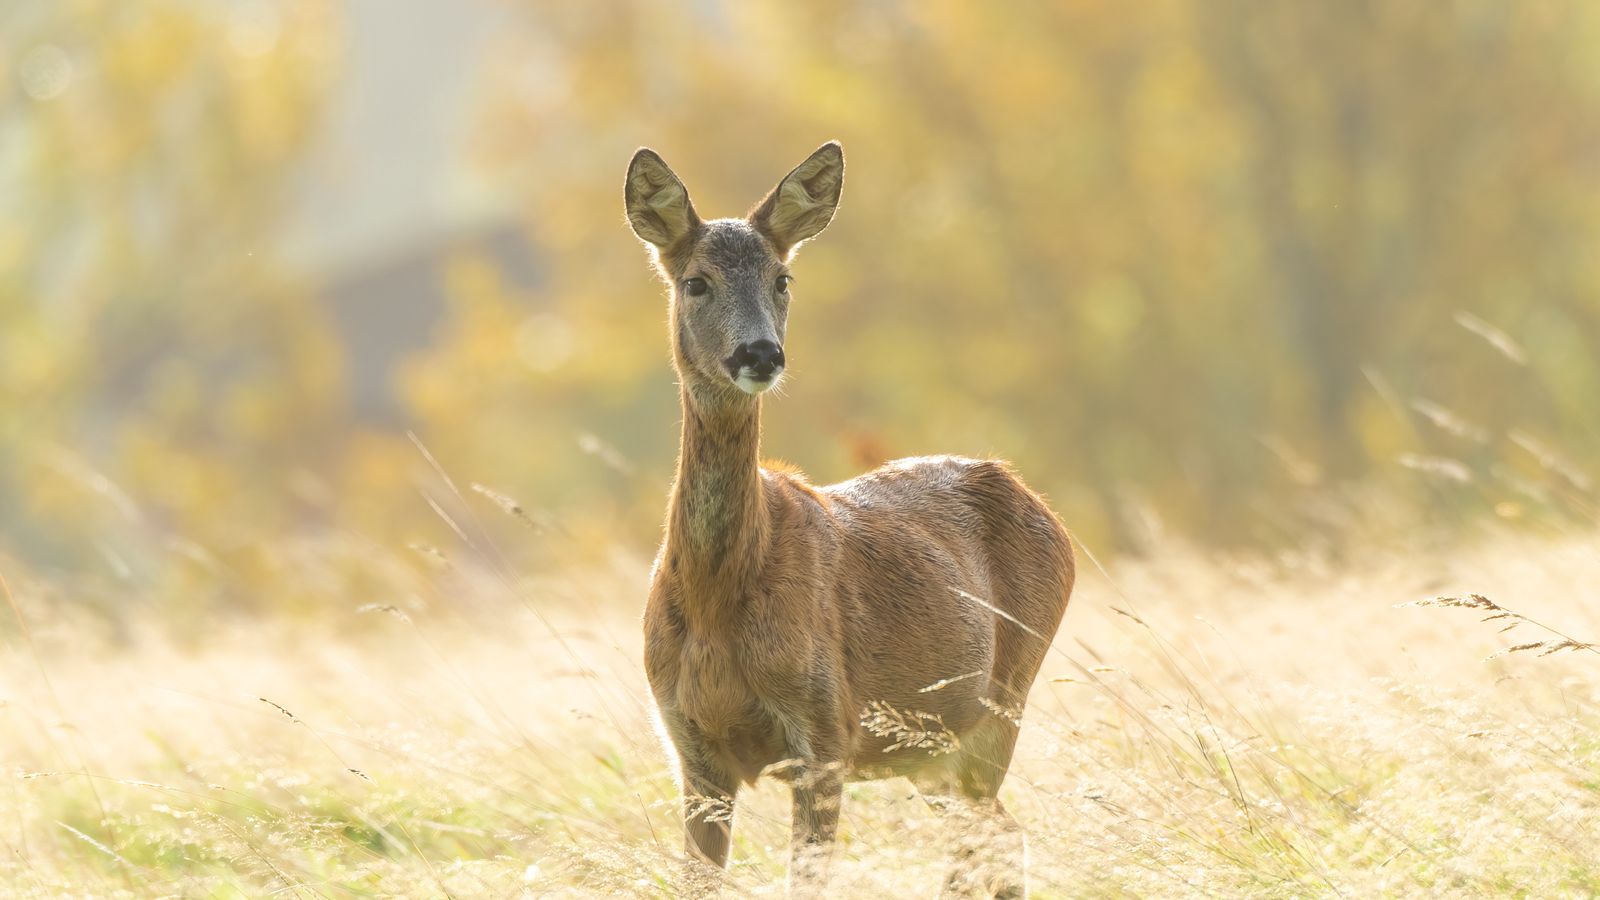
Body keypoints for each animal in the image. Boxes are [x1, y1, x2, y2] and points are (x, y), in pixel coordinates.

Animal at [624, 143, 1075, 890]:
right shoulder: (691, 749)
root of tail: (1032, 497)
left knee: (990, 840)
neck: (719, 599)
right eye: (695, 282)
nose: (760, 353)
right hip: (931, 750)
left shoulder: (826, 731)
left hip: (1001, 702)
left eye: (783, 278)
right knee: (997, 836)